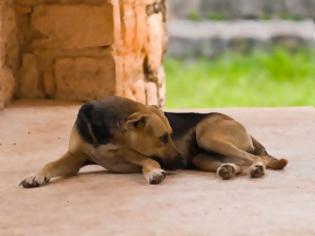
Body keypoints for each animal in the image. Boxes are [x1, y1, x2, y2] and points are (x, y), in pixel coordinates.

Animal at [18, 96, 288, 188]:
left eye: (169, 135)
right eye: (162, 137)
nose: (180, 163)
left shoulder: (134, 156)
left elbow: (149, 162)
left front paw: (154, 174)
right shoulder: (75, 158)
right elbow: (50, 165)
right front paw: (35, 176)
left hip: (208, 136)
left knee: (256, 157)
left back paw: (256, 167)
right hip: (201, 156)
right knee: (237, 163)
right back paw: (228, 170)